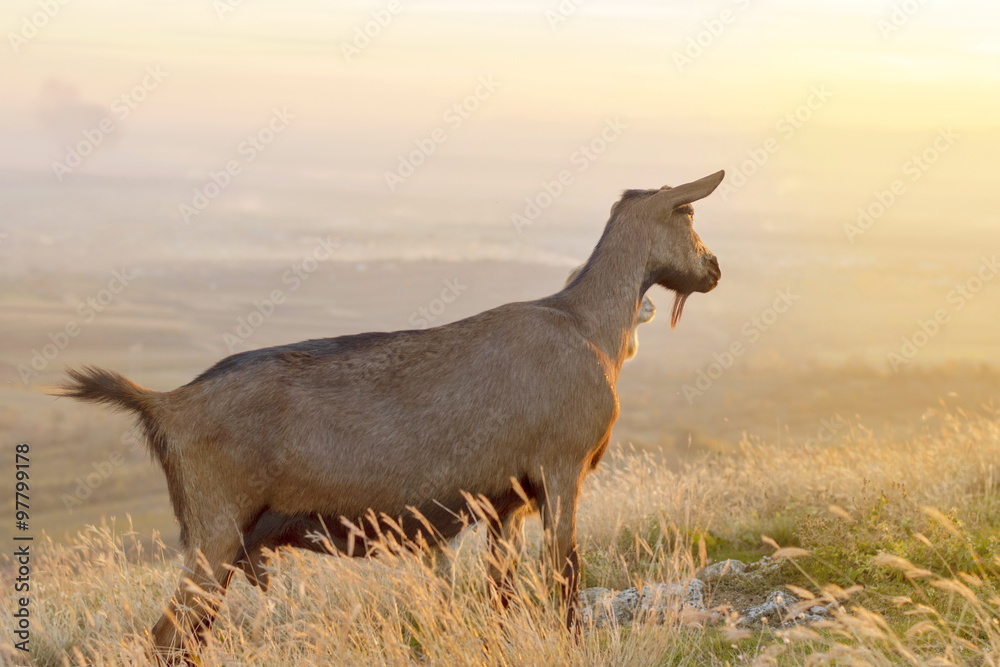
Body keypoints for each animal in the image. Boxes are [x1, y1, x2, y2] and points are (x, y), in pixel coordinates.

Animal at [54, 171, 724, 656]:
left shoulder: (504, 503)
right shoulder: (561, 471)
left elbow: (501, 594)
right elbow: (565, 573)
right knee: (167, 636)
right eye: (688, 213)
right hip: (215, 531)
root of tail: (168, 403)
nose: (714, 268)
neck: (587, 327)